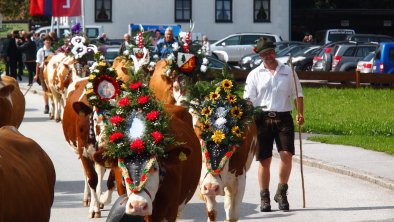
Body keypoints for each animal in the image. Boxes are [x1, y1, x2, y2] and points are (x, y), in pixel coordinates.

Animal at [62, 78, 115, 219]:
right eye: (95, 119)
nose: (106, 147)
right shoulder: (83, 152)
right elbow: (92, 179)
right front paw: (94, 209)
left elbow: (110, 181)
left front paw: (102, 199)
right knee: (87, 174)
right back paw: (88, 198)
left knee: (100, 172)